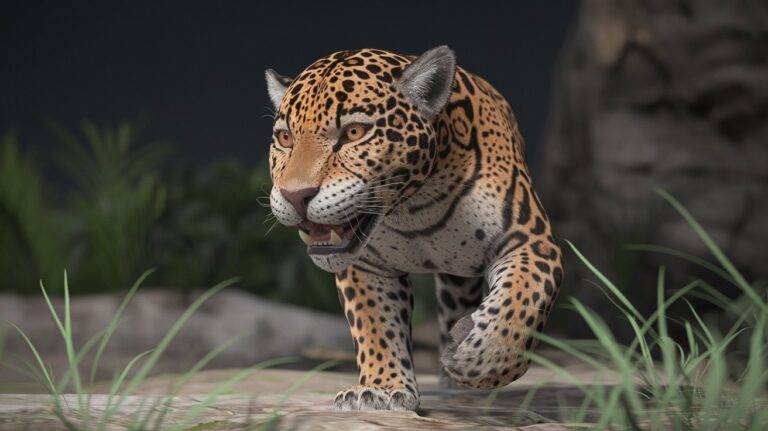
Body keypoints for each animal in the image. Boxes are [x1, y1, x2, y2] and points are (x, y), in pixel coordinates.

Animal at [265, 46, 563, 411]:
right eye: (285, 138)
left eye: (354, 133)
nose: (295, 195)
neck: (414, 208)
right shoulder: (368, 265)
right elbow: (375, 327)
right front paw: (380, 389)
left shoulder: (530, 241)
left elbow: (521, 302)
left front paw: (479, 358)